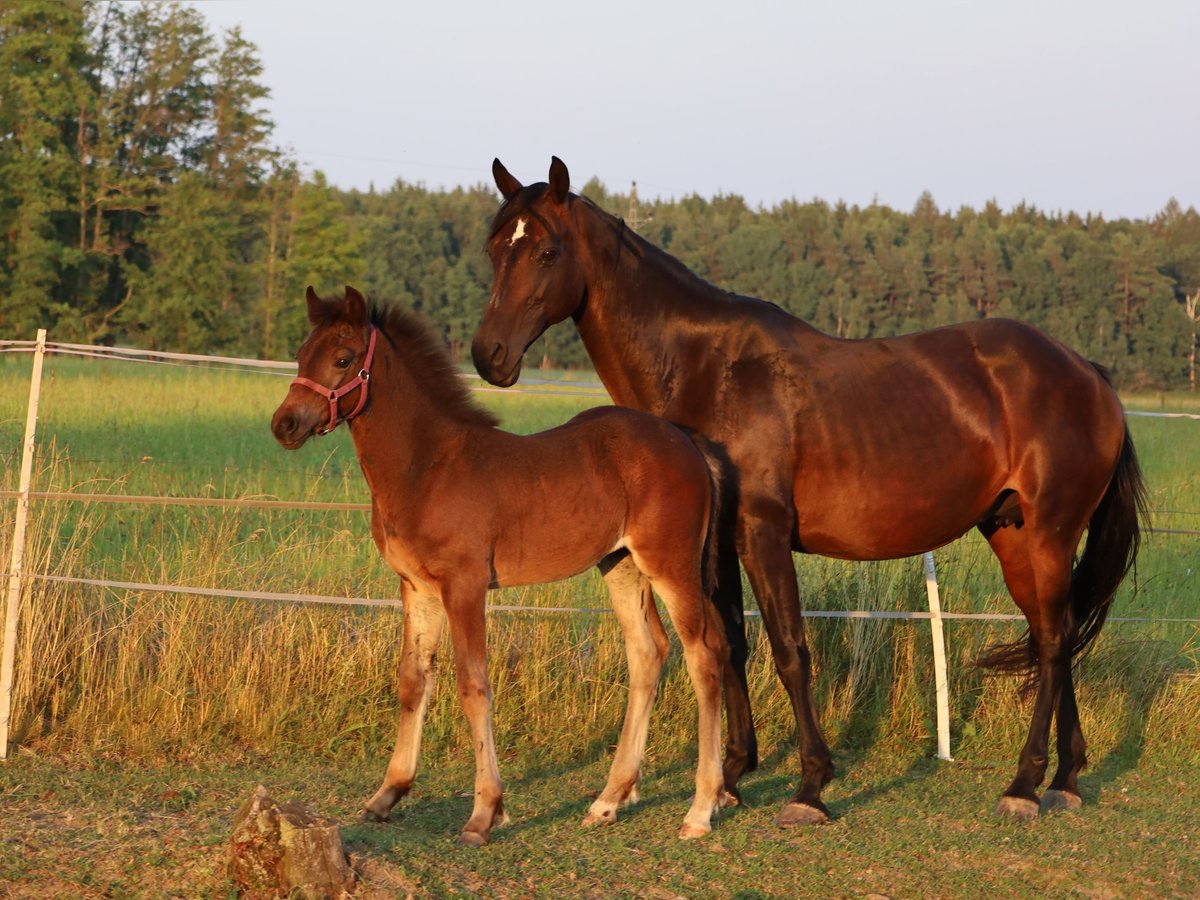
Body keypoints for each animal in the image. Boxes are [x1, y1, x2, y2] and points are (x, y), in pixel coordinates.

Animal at [274, 286, 729, 844]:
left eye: (343, 358)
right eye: (300, 354)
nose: (285, 424)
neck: (425, 466)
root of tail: (688, 442)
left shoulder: (464, 586)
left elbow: (474, 685)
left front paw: (485, 813)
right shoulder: (415, 587)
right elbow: (412, 679)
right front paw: (388, 794)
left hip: (672, 564)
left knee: (704, 654)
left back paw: (700, 809)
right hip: (621, 565)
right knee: (648, 652)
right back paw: (608, 800)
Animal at [472, 160, 1147, 825]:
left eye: (547, 252)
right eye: (494, 248)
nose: (488, 355)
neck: (710, 367)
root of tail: (1090, 374)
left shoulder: (763, 535)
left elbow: (790, 650)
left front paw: (810, 787)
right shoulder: (721, 546)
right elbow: (731, 647)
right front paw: (731, 779)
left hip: (1053, 533)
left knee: (1055, 641)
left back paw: (1025, 785)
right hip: (1014, 537)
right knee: (1055, 635)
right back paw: (1064, 778)